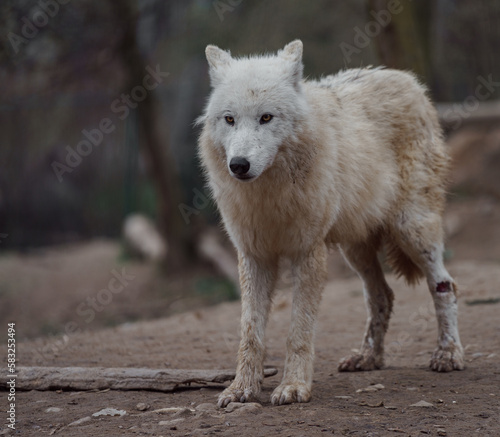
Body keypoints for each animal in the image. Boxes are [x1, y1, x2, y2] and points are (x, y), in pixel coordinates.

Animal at [196, 39, 464, 408]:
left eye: (266, 117)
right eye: (229, 119)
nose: (238, 165)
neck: (270, 196)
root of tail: (407, 79)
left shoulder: (308, 253)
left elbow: (299, 331)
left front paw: (293, 387)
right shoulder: (254, 256)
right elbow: (250, 332)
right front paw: (241, 389)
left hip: (413, 231)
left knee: (445, 285)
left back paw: (448, 354)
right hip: (356, 249)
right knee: (382, 295)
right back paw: (368, 358)